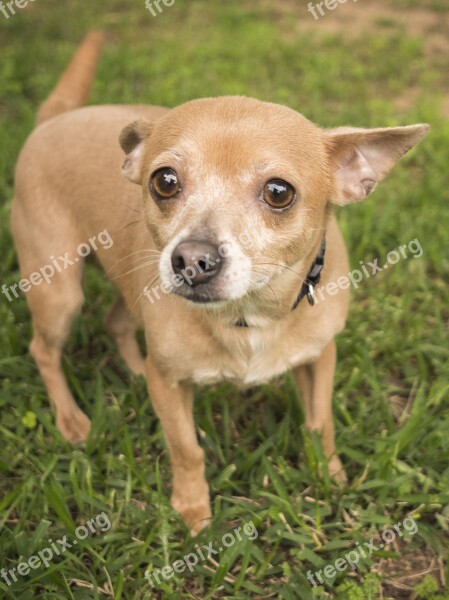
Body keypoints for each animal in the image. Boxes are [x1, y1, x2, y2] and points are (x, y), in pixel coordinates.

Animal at [11, 32, 428, 536]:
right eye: (165, 182)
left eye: (279, 192)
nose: (191, 259)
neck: (250, 316)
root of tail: (55, 118)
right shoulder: (172, 388)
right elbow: (186, 448)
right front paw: (192, 509)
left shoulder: (320, 357)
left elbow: (320, 422)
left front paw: (331, 476)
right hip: (59, 294)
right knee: (44, 350)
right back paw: (71, 418)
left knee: (117, 322)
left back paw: (134, 371)